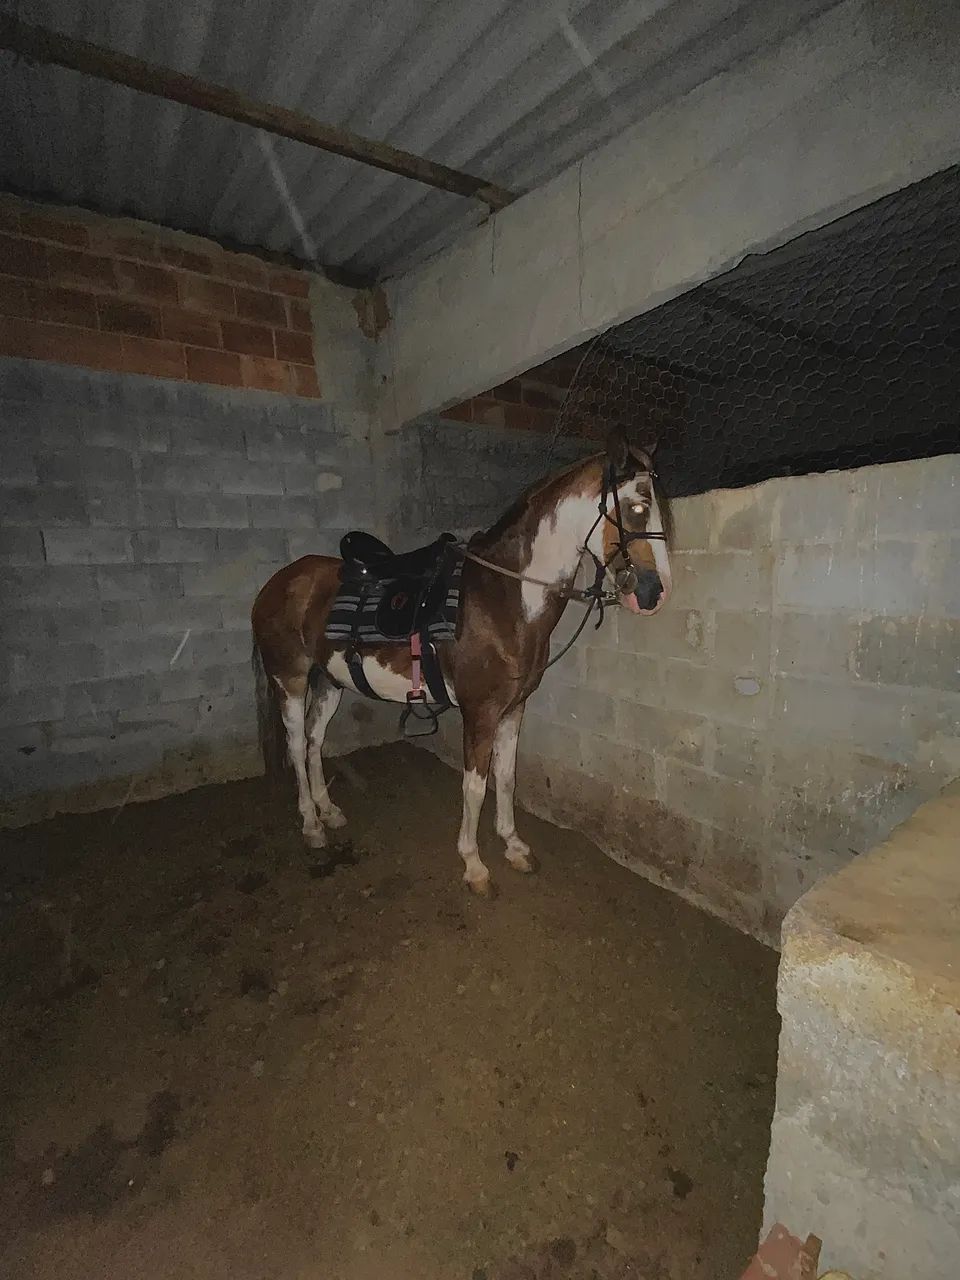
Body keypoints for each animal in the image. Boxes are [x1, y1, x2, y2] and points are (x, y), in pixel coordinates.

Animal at [250, 429, 672, 897]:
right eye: (637, 506)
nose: (654, 593)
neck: (503, 598)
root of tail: (277, 583)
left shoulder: (513, 709)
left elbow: (506, 777)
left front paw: (514, 846)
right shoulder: (480, 712)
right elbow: (475, 785)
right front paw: (474, 865)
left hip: (328, 682)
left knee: (313, 741)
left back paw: (329, 811)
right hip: (289, 679)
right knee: (294, 744)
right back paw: (311, 825)